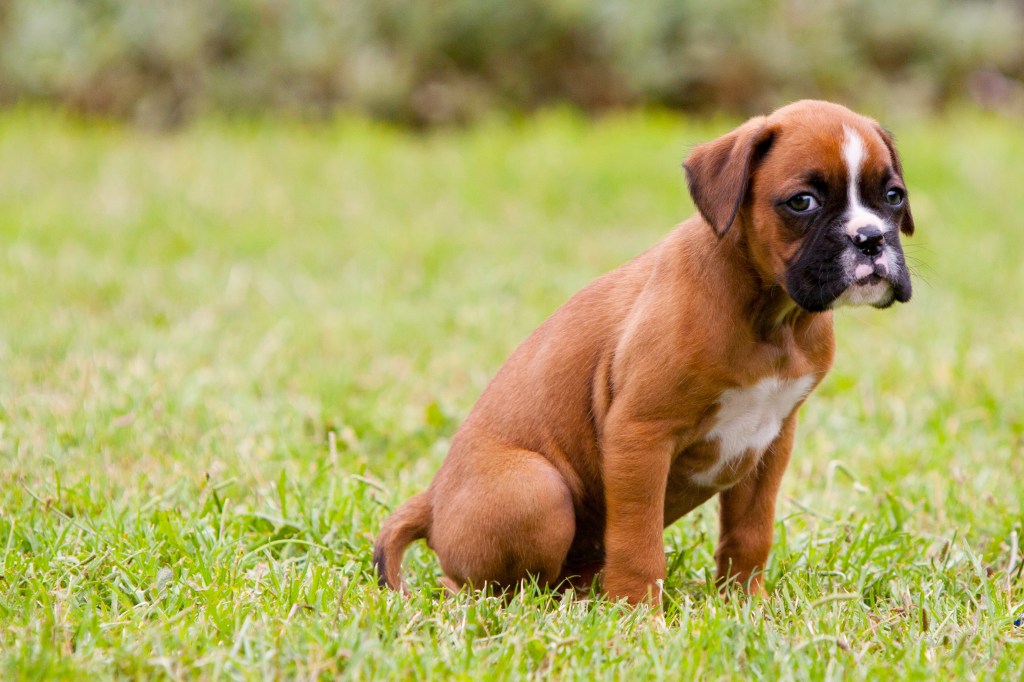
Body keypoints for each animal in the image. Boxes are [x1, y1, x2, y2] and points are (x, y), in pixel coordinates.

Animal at [372, 99, 917, 602]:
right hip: (536, 489)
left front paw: (745, 604)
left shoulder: (772, 441)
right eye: (802, 202)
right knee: (473, 586)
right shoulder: (639, 435)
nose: (870, 238)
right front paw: (639, 615)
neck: (771, 316)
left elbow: (750, 533)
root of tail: (432, 499)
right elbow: (639, 540)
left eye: (893, 196)